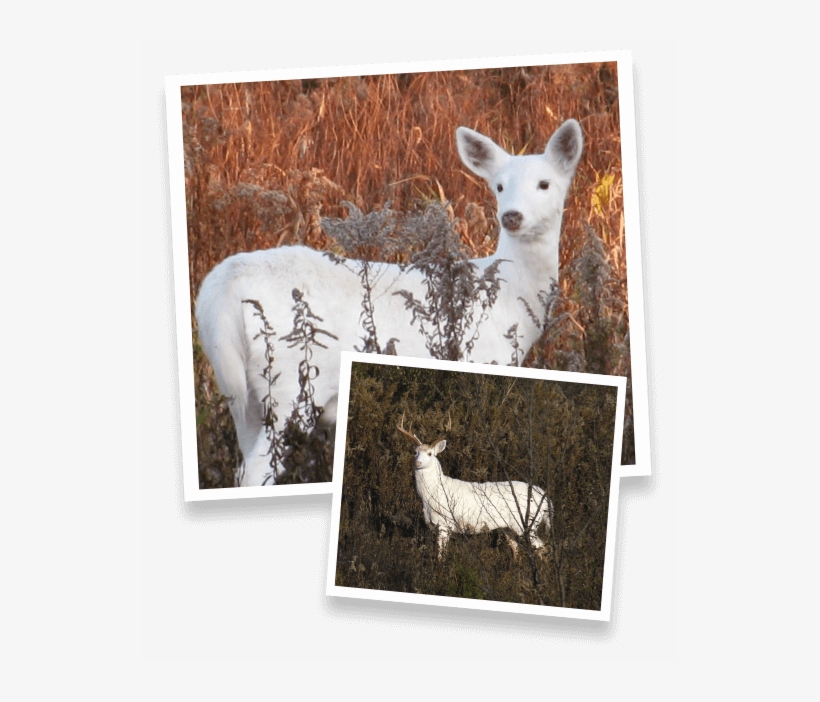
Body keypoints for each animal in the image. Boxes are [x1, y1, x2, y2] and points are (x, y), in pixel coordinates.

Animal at [195, 119, 584, 485]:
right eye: (499, 186)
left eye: (545, 184)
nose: (512, 216)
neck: (509, 298)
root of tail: (220, 291)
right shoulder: (484, 358)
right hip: (292, 381)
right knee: (255, 471)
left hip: (238, 390)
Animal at [397, 412, 551, 559]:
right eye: (415, 452)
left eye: (429, 453)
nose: (417, 463)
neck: (431, 495)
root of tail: (545, 498)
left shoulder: (445, 523)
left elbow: (440, 554)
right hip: (509, 526)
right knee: (516, 549)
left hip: (527, 522)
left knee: (542, 547)